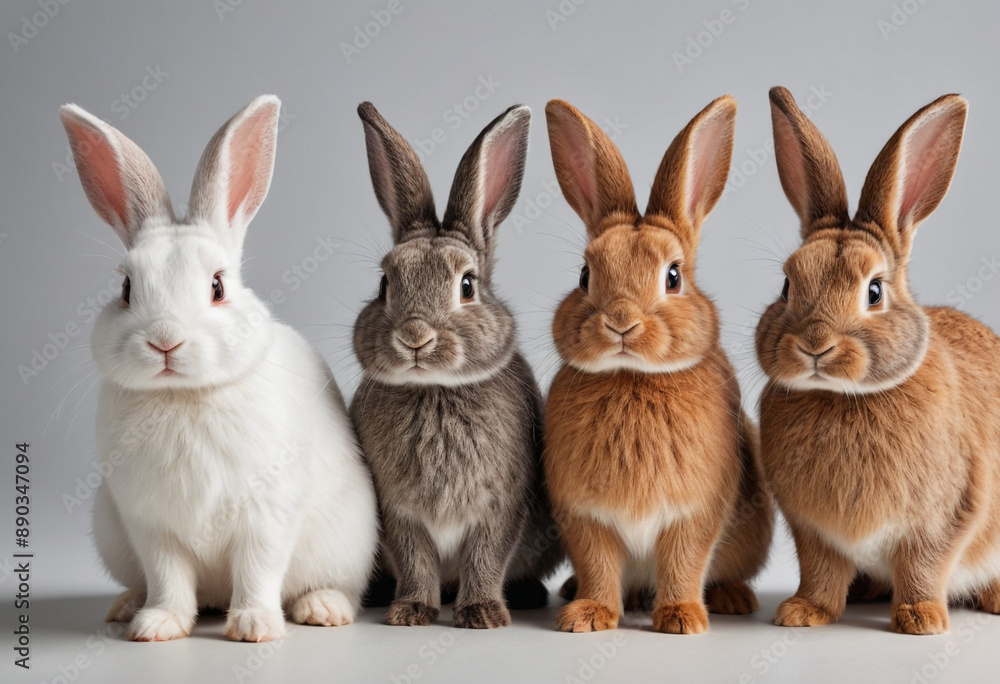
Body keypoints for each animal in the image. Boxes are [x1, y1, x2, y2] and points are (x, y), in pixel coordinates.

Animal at [60, 96, 378, 642]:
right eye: (126, 289)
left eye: (217, 287)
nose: (165, 340)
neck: (184, 394)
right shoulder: (152, 526)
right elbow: (168, 577)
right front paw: (158, 626)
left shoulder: (266, 514)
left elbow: (257, 570)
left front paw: (254, 627)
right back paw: (126, 606)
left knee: (337, 587)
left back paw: (321, 609)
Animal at [350, 102, 563, 629]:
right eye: (384, 285)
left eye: (467, 285)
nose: (414, 337)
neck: (436, 388)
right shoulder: (399, 512)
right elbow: (415, 559)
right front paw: (411, 612)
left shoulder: (501, 507)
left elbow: (486, 556)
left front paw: (482, 614)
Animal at [542, 97, 774, 635]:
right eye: (584, 275)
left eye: (673, 277)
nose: (621, 322)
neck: (633, 377)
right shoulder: (585, 516)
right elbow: (598, 564)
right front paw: (588, 616)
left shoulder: (695, 513)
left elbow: (684, 561)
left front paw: (681, 619)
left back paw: (729, 598)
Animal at [755, 86, 1000, 635]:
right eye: (786, 285)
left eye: (874, 291)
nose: (815, 344)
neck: (844, 396)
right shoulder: (812, 530)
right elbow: (821, 571)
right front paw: (803, 613)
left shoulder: (948, 514)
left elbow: (924, 566)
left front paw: (921, 619)